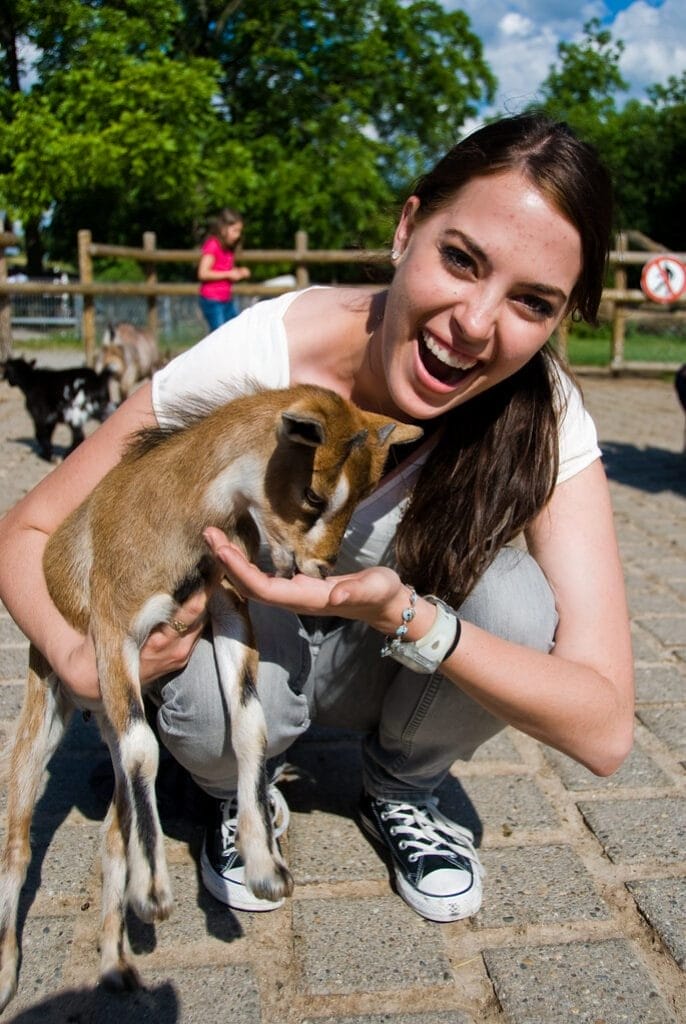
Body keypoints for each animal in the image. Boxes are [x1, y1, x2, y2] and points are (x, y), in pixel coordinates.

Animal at [0, 385, 421, 1007]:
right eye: (314, 495)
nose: (320, 569)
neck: (175, 511)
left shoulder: (224, 606)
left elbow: (249, 724)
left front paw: (263, 866)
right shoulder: (113, 630)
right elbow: (144, 750)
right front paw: (156, 894)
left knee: (111, 837)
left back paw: (115, 965)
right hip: (48, 697)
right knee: (20, 836)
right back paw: (9, 971)